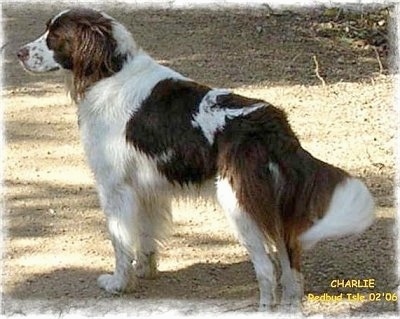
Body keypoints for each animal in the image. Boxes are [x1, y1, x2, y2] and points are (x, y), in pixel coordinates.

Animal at [17, 8, 376, 312]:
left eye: (54, 36)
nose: (18, 53)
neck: (110, 72)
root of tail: (272, 125)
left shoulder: (114, 188)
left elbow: (120, 242)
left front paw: (119, 284)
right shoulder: (146, 188)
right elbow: (145, 237)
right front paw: (145, 271)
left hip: (239, 206)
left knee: (266, 268)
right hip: (274, 210)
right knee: (291, 269)